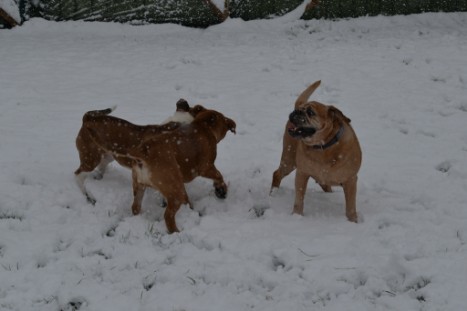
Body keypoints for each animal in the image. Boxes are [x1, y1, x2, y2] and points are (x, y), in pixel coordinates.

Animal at [74, 99, 203, 205]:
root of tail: (88, 118)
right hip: (90, 158)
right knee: (78, 175)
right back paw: (87, 196)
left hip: (107, 155)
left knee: (101, 167)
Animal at [85, 108, 236, 233]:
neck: (202, 126)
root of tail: (143, 153)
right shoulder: (206, 167)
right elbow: (219, 175)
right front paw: (221, 190)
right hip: (176, 192)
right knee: (168, 216)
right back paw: (176, 232)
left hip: (140, 186)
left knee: (135, 206)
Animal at [270, 80, 362, 222]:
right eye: (301, 109)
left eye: (310, 112)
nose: (296, 111)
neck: (323, 147)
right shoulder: (302, 173)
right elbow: (299, 198)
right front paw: (297, 215)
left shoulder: (350, 180)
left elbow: (351, 205)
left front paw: (352, 221)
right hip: (289, 160)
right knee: (277, 173)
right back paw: (273, 193)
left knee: (325, 185)